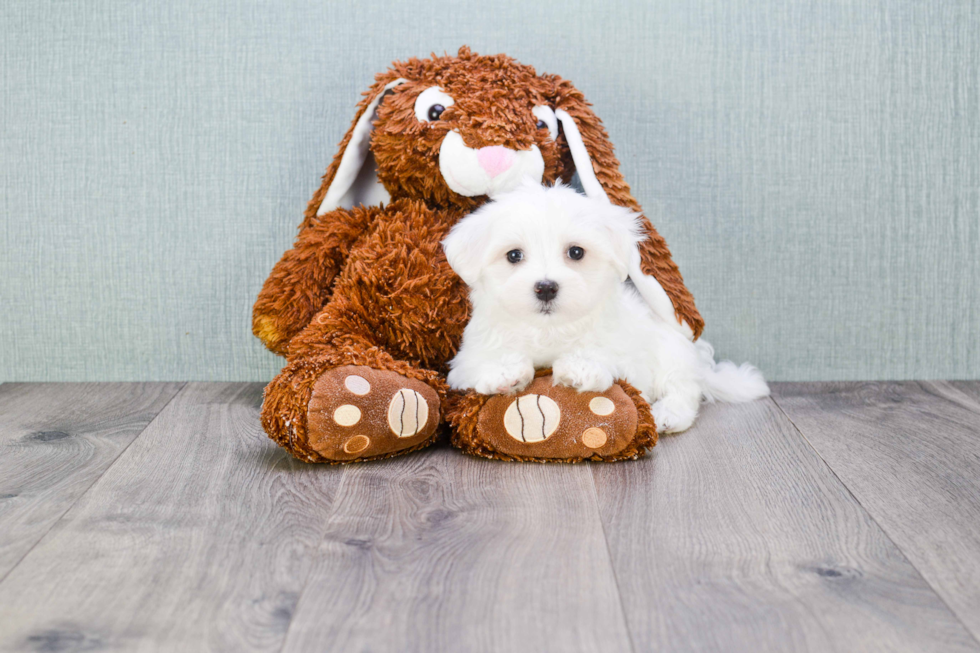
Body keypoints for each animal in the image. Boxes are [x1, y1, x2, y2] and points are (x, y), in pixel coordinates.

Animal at [440, 181, 768, 432]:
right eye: (513, 255)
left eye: (576, 252)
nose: (546, 287)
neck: (549, 330)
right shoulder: (465, 359)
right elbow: (477, 364)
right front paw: (504, 372)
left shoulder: (628, 355)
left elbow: (608, 357)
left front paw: (580, 366)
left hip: (672, 349)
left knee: (683, 388)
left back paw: (669, 415)